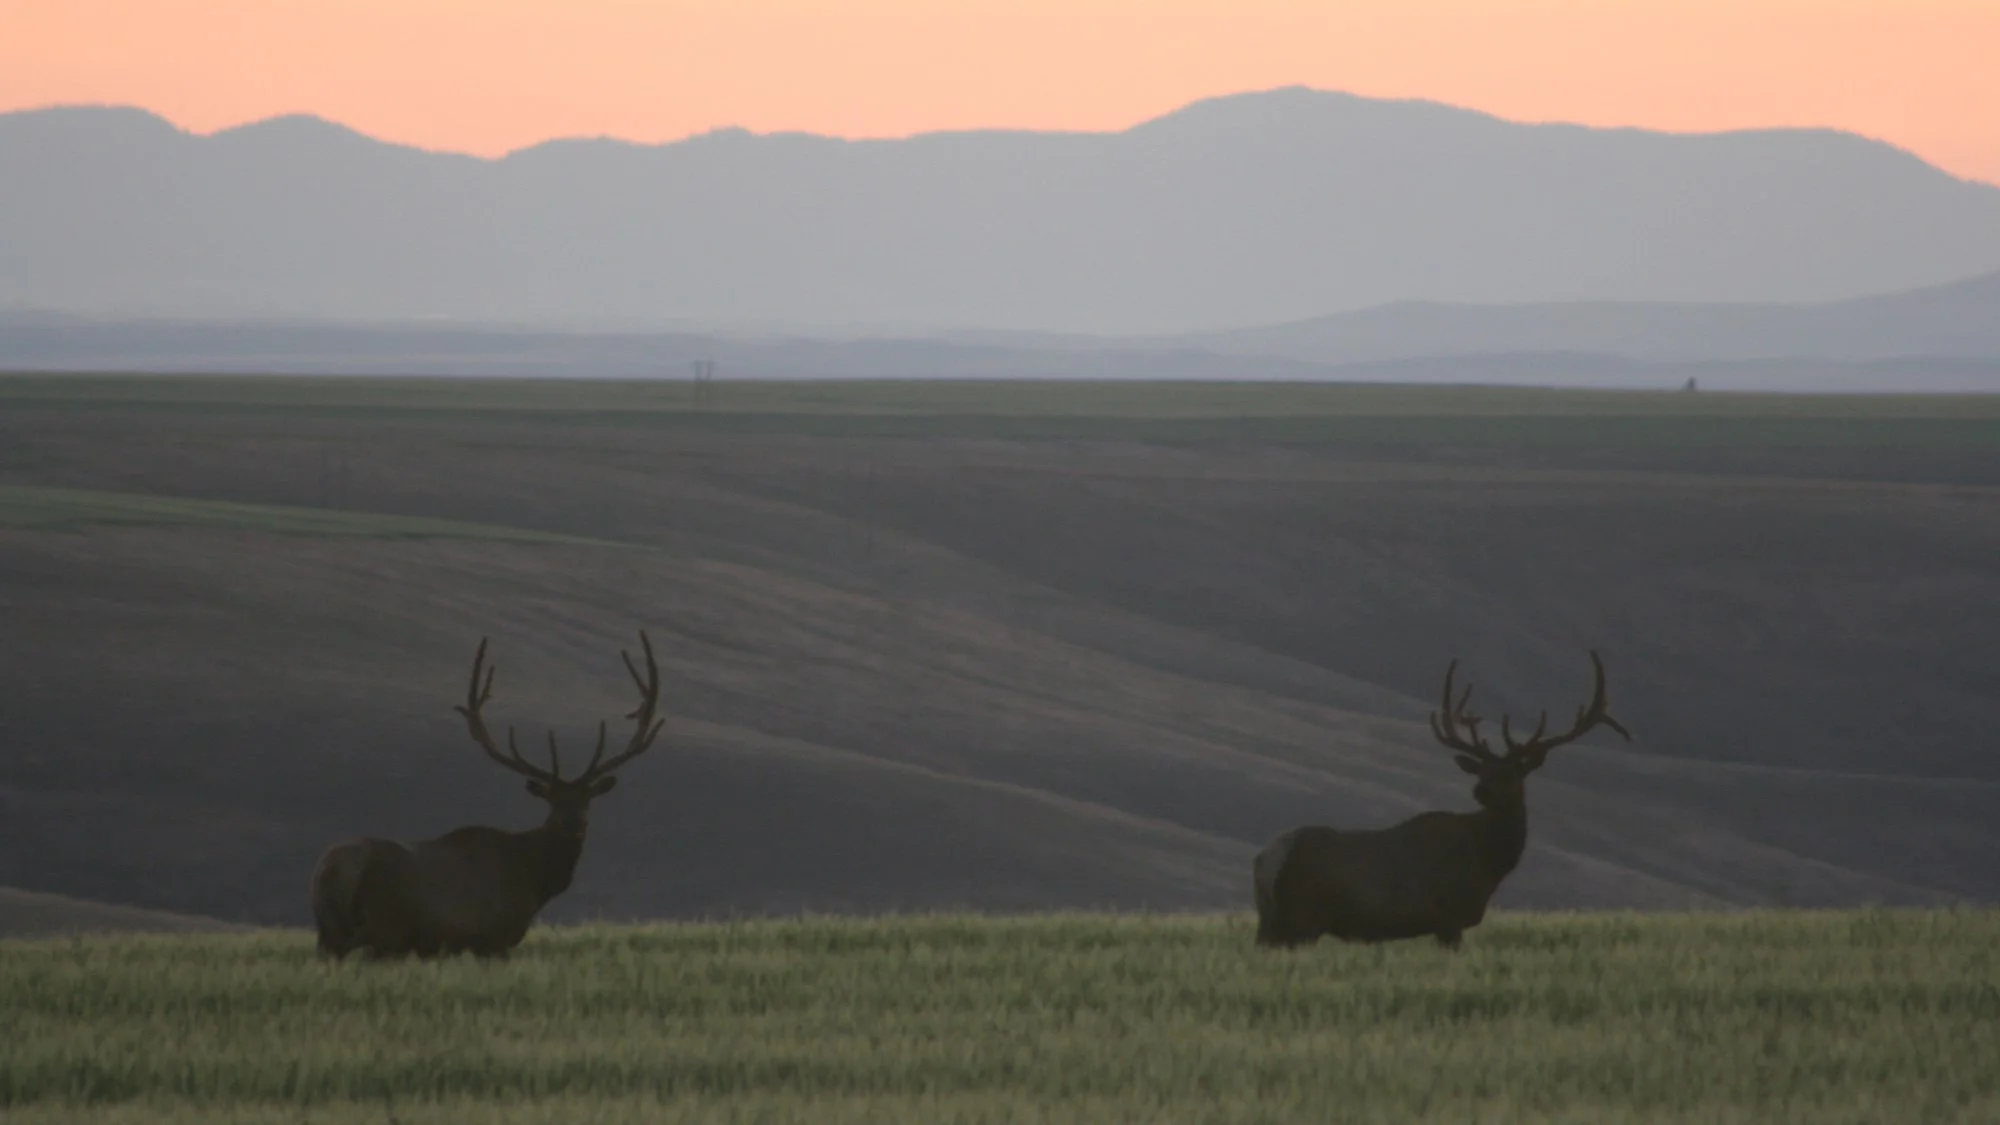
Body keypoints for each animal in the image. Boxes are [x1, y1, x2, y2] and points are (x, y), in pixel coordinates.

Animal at [311, 631, 668, 960]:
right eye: (552, 801)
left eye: (588, 799)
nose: (574, 824)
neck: (536, 881)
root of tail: (333, 872)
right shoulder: (493, 939)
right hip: (382, 930)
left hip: (329, 934)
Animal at [1253, 650, 1628, 951]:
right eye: (1483, 771)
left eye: (1513, 772)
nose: (1481, 791)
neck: (1488, 863)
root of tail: (1268, 858)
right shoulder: (1449, 917)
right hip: (1302, 918)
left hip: (1269, 922)